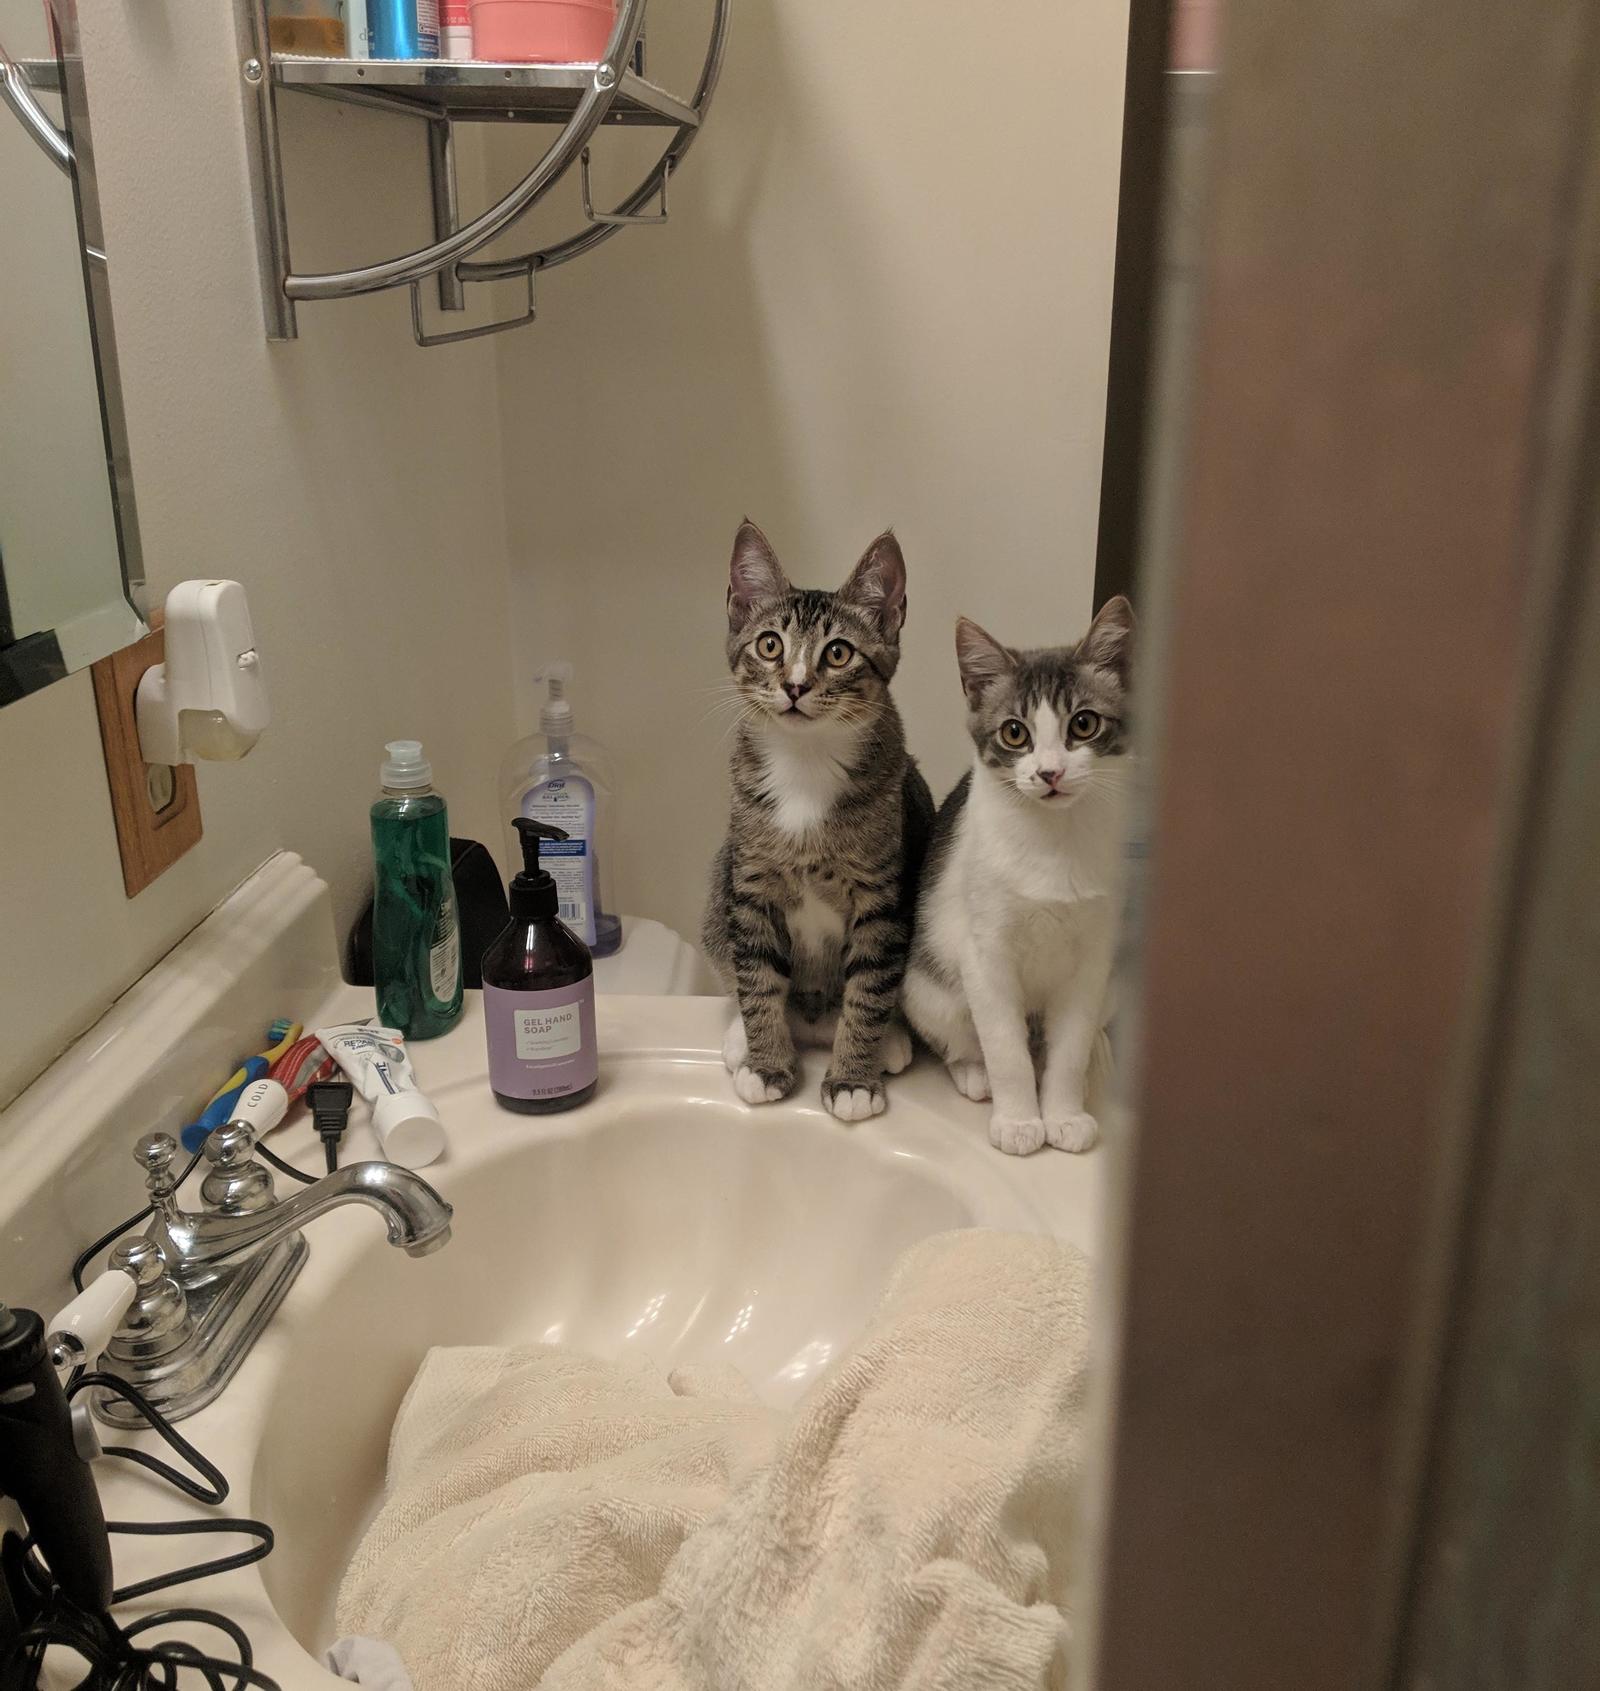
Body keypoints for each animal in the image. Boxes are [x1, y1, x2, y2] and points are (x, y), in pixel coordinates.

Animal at [700, 514, 933, 1122]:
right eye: (769, 644)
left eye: (838, 653)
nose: (795, 684)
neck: (804, 765)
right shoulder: (751, 882)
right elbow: (757, 974)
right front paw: (766, 1064)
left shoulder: (881, 895)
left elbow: (870, 986)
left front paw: (853, 1079)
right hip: (720, 881)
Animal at [906, 601, 1129, 1156]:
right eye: (1014, 732)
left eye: (1084, 724)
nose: (1050, 773)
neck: (1054, 839)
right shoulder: (984, 952)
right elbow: (1005, 1048)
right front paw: (1019, 1120)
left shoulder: (1093, 956)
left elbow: (1069, 1045)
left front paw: (1064, 1113)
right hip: (926, 986)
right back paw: (972, 1070)